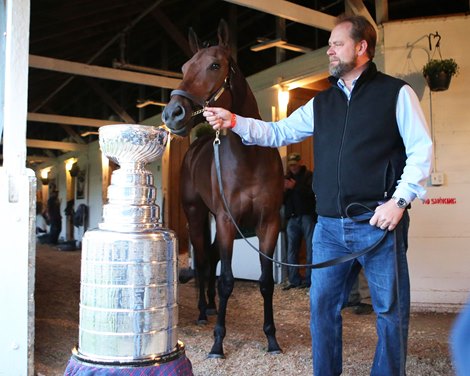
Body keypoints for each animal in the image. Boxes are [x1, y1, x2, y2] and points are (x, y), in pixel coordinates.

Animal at [162, 18, 282, 358]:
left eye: (215, 65)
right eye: (184, 66)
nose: (172, 113)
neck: (249, 159)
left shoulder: (268, 224)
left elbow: (266, 282)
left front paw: (271, 339)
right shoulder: (228, 222)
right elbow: (227, 280)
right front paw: (218, 343)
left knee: (212, 258)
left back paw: (213, 307)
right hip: (196, 215)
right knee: (204, 261)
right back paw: (204, 312)